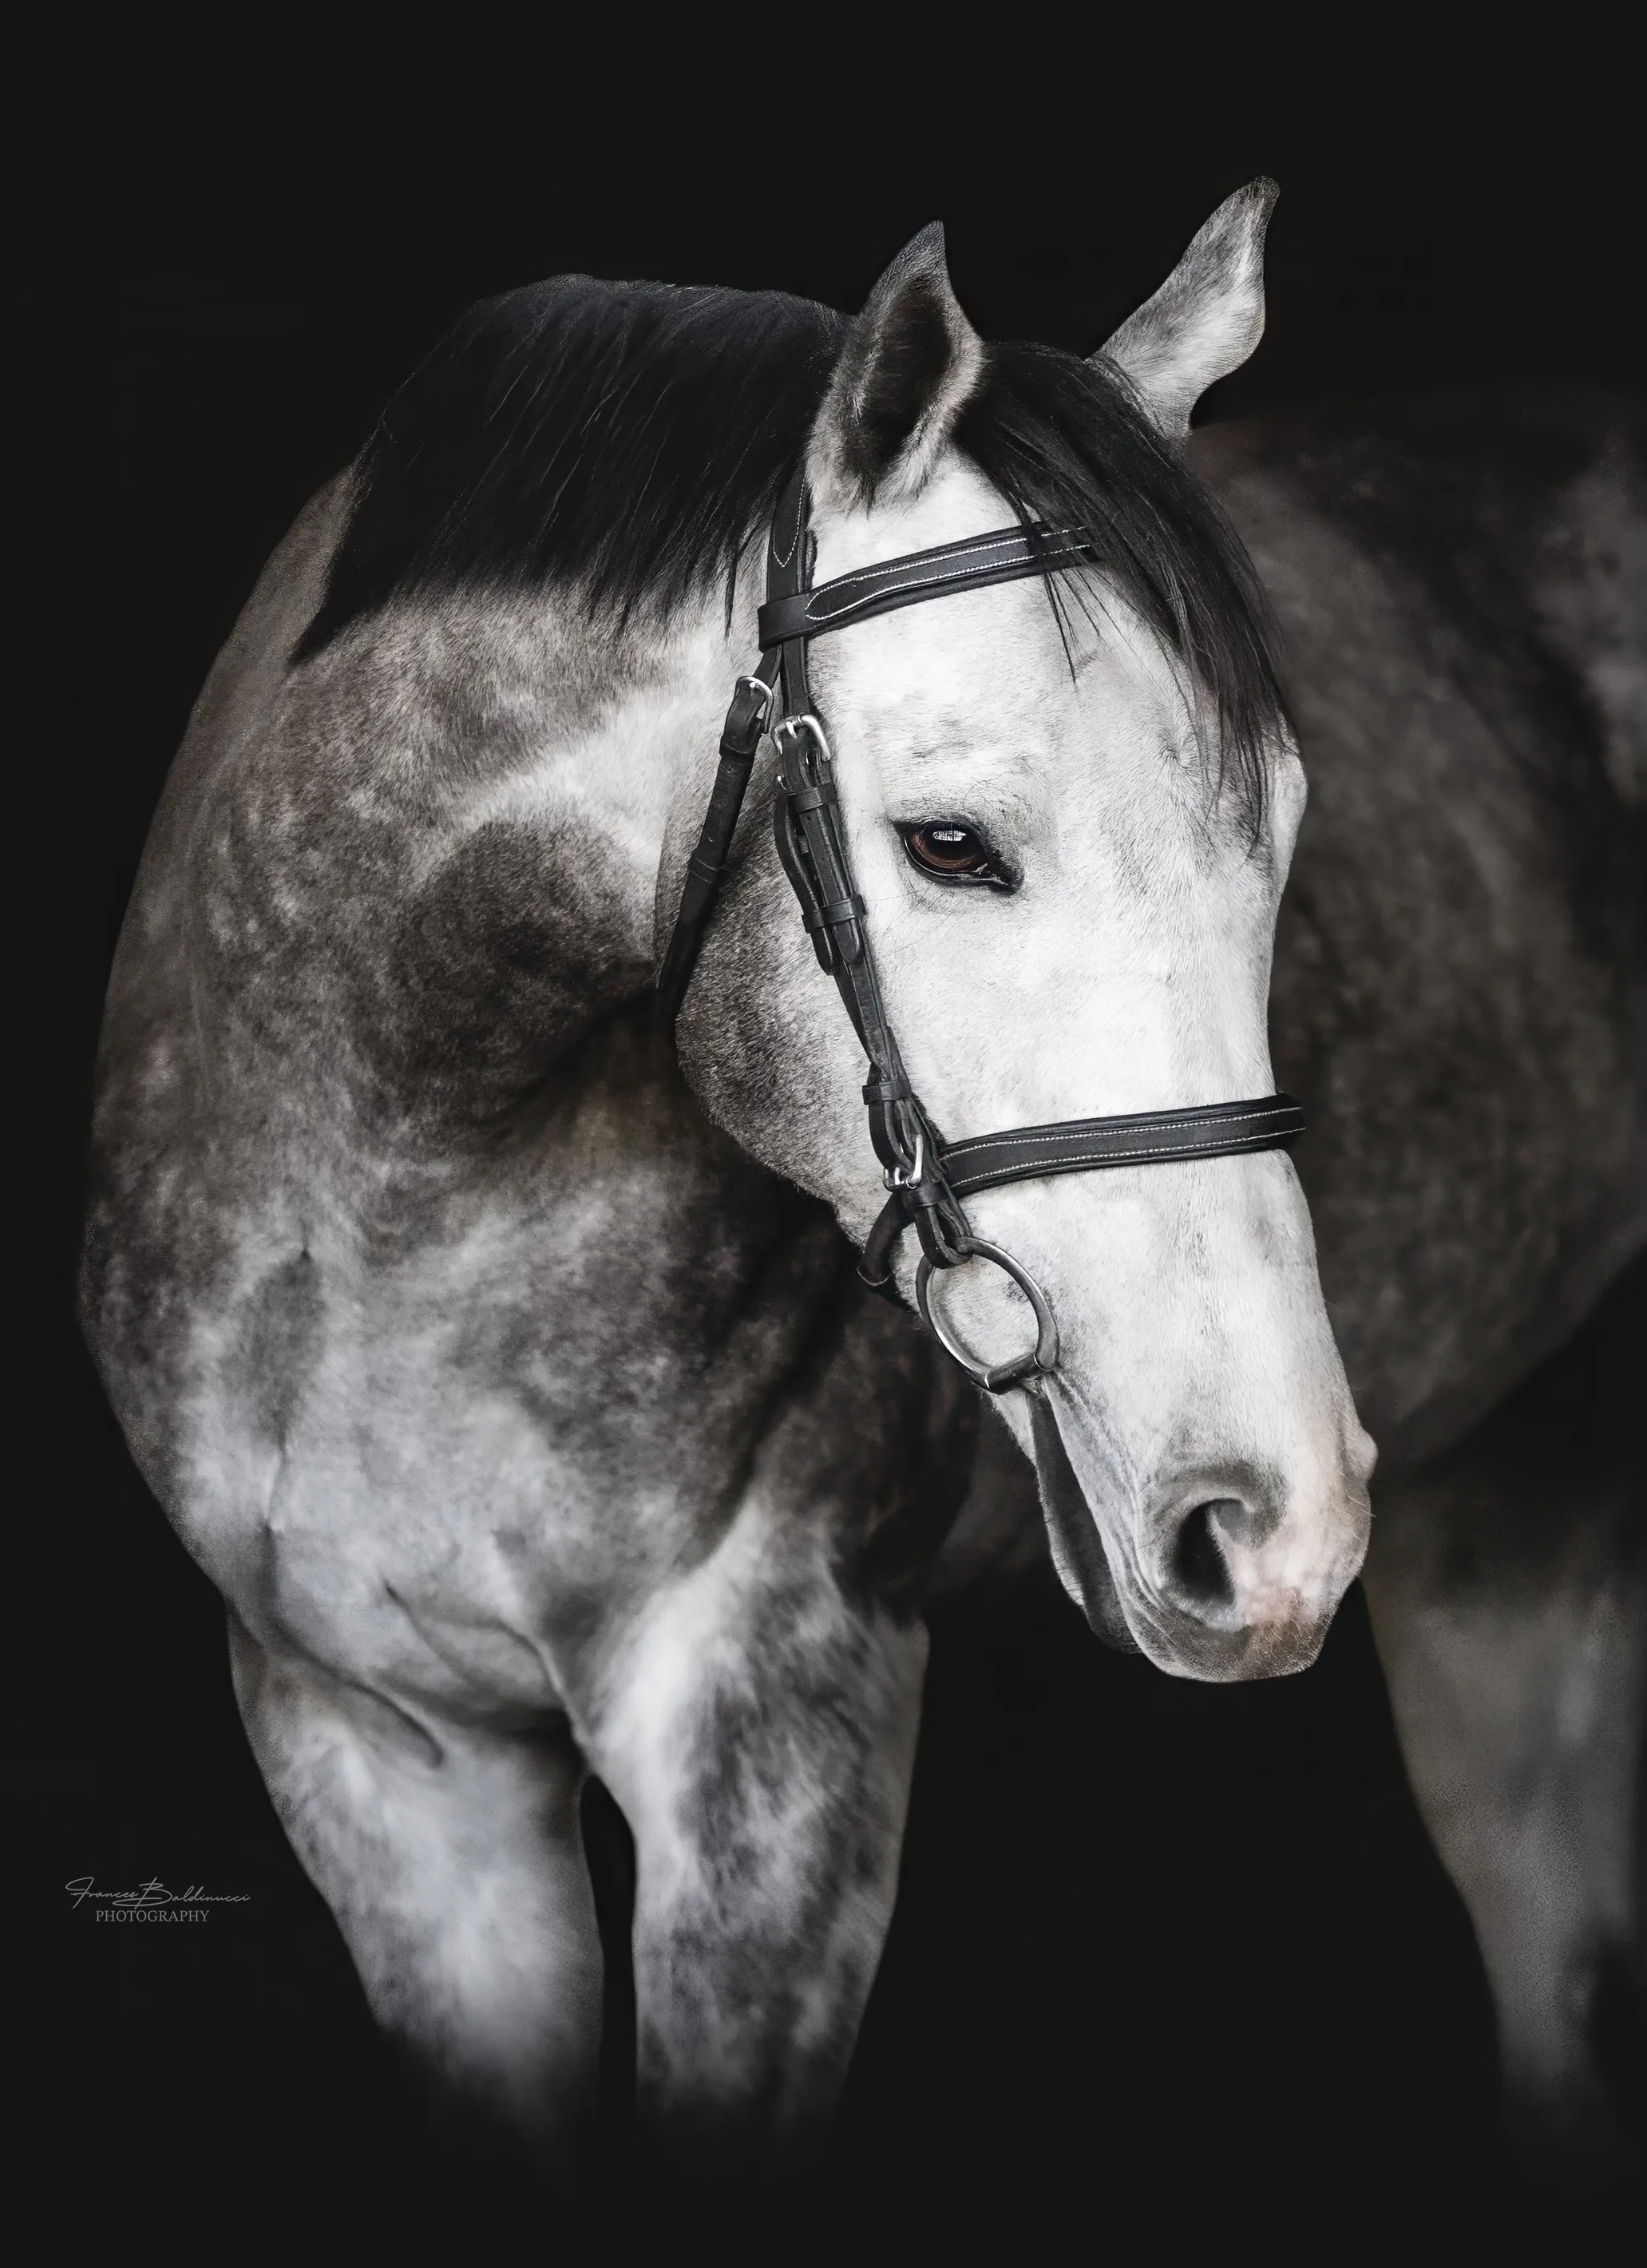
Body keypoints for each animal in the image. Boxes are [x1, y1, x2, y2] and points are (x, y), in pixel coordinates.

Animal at [79, 181, 1644, 2178]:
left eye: (1282, 836)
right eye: (950, 844)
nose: (1268, 1525)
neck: (380, 1229)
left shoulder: (770, 1734)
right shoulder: (378, 1746)